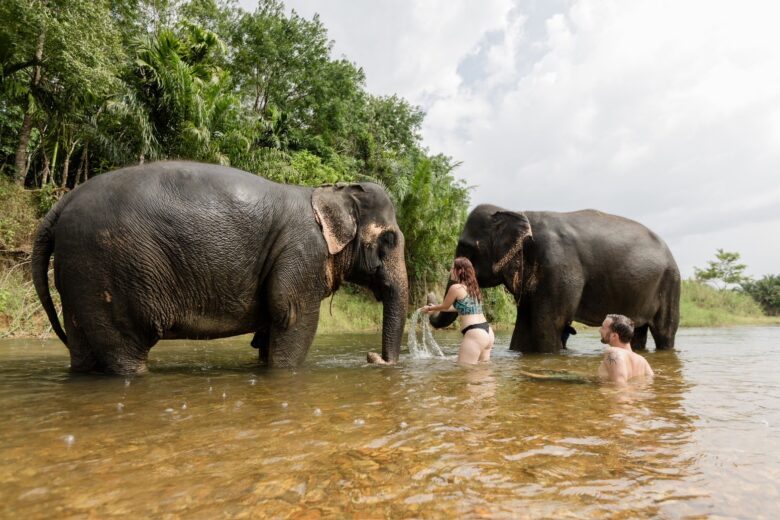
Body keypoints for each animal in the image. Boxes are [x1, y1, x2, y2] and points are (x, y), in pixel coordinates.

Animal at [32, 161, 408, 374]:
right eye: (390, 238)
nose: (374, 359)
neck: (329, 190)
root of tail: (61, 204)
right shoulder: (301, 252)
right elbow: (291, 316)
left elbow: (271, 327)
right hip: (107, 270)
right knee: (125, 351)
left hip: (79, 276)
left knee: (82, 348)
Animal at [429, 204, 680, 353]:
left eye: (465, 247)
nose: (430, 297)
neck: (516, 210)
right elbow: (524, 322)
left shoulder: (558, 263)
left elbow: (549, 322)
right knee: (638, 332)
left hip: (670, 283)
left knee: (665, 331)